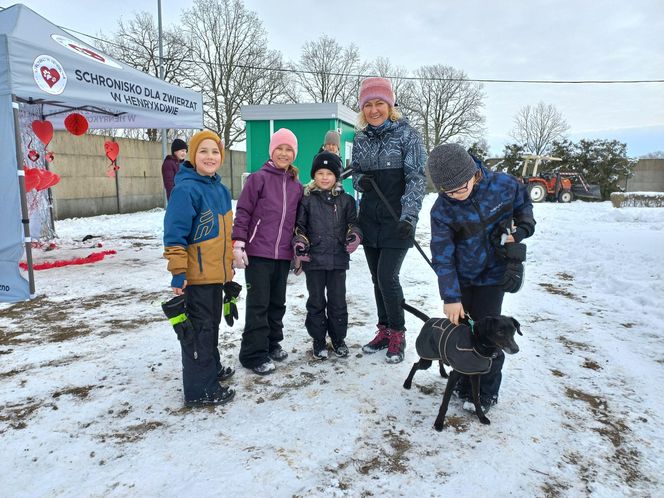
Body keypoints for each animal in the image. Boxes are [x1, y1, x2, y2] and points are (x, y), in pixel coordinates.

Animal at [400, 300, 524, 432]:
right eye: (500, 332)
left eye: (514, 331)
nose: (516, 349)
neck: (477, 344)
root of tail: (429, 320)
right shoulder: (454, 376)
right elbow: (445, 403)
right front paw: (438, 423)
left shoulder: (475, 375)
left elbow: (476, 398)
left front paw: (481, 417)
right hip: (426, 361)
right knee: (415, 365)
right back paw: (407, 383)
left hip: (436, 352)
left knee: (439, 359)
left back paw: (442, 372)